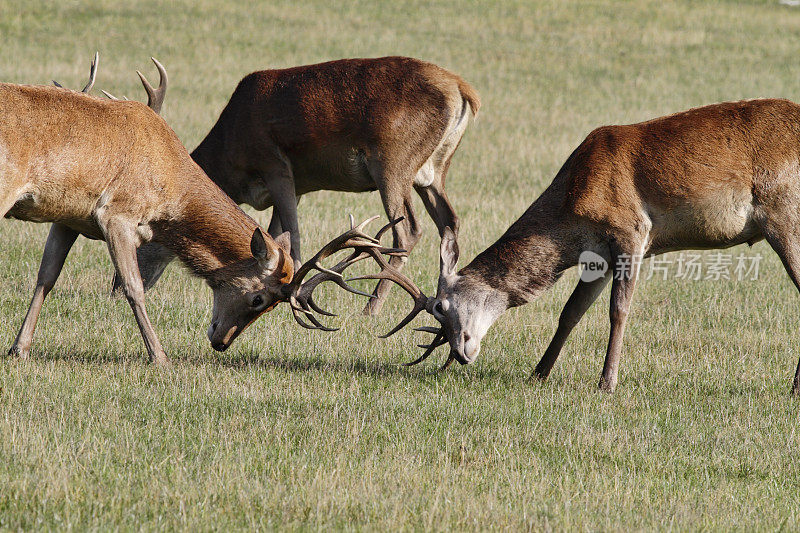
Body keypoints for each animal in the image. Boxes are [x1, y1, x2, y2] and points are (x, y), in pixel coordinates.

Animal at [1, 58, 396, 364]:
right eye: (259, 299)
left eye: (269, 307)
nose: (221, 343)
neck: (170, 193)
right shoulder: (117, 214)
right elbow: (134, 286)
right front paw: (159, 356)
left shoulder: (68, 217)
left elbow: (46, 278)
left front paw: (19, 348)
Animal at [115, 56, 478, 316]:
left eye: (146, 236)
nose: (116, 288)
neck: (232, 157)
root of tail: (464, 91)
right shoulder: (299, 185)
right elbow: (276, 236)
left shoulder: (276, 165)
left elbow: (292, 235)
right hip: (433, 172)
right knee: (450, 222)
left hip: (392, 162)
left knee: (408, 230)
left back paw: (371, 308)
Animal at [368, 97, 800, 392]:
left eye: (441, 307)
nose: (460, 353)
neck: (570, 214)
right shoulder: (599, 255)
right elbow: (570, 312)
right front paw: (538, 373)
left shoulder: (632, 231)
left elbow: (618, 310)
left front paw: (606, 382)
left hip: (785, 215)